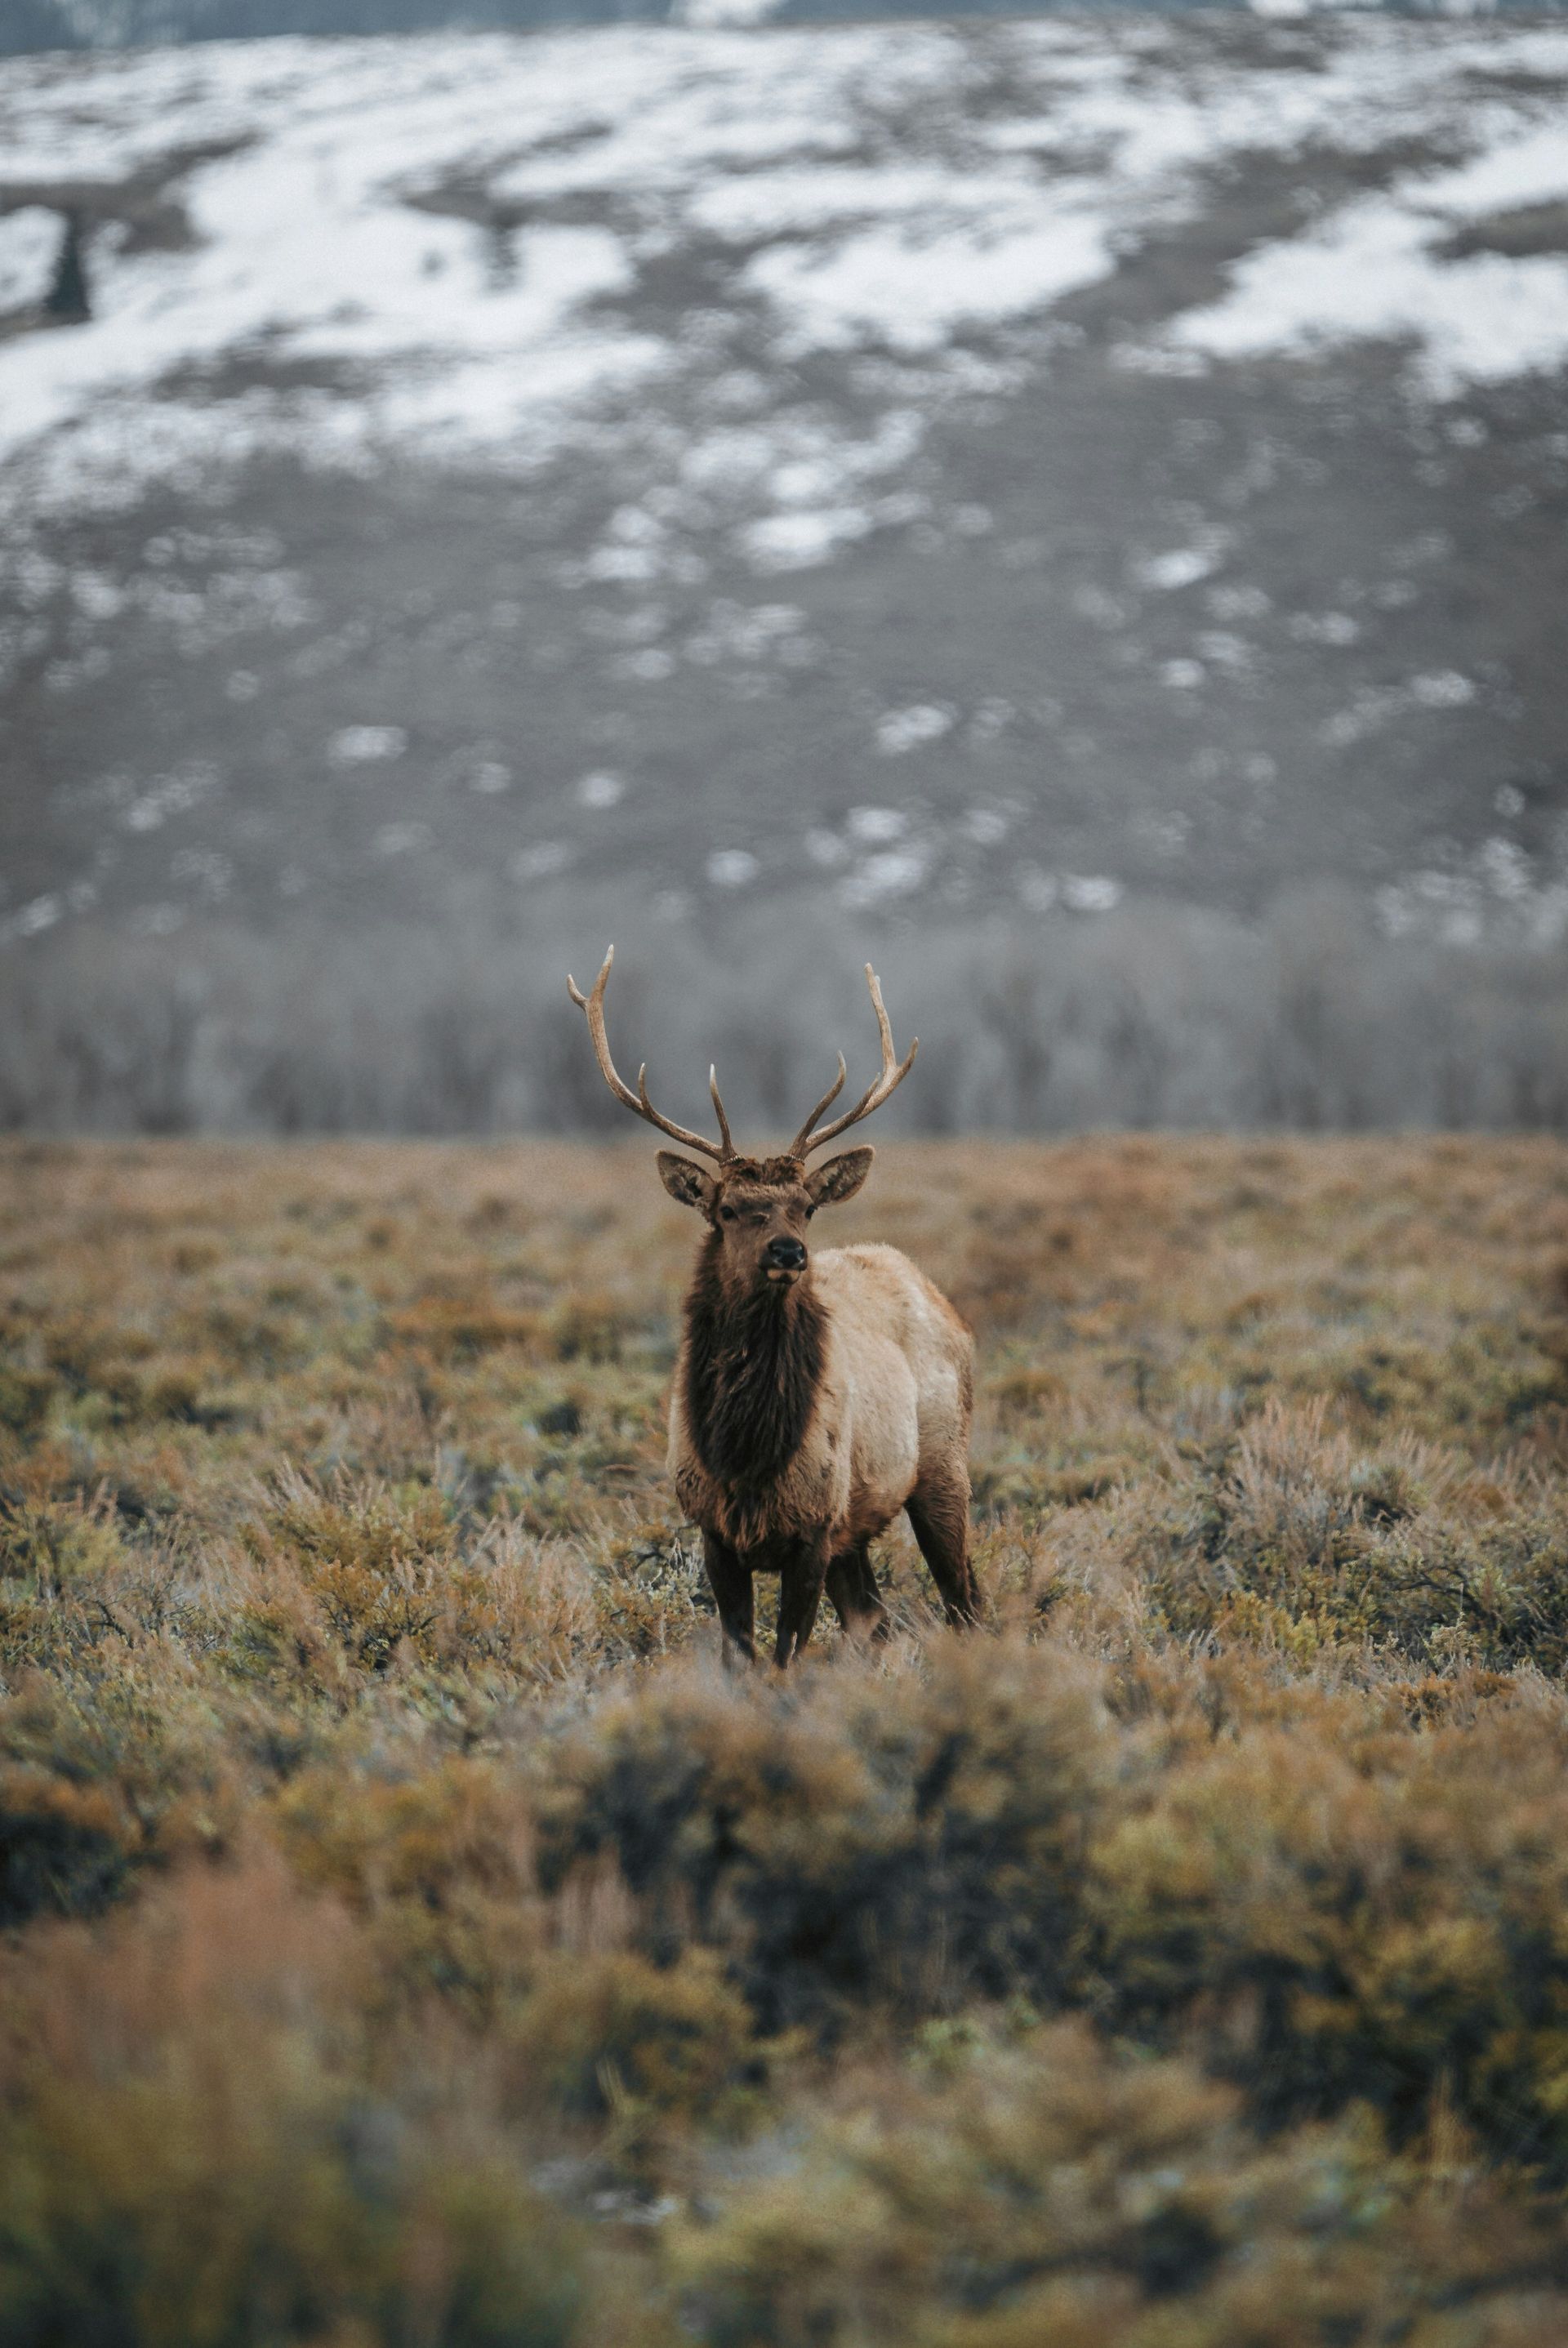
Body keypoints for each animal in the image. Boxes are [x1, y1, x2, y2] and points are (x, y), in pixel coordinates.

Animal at [570, 943, 971, 1662]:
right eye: (728, 1208)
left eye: (806, 1206)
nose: (789, 1252)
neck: (747, 1453)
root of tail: (940, 1298)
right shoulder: (714, 1530)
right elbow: (743, 1657)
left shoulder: (814, 1526)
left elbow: (784, 1657)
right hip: (860, 1525)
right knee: (876, 1620)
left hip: (944, 1466)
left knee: (966, 1602)